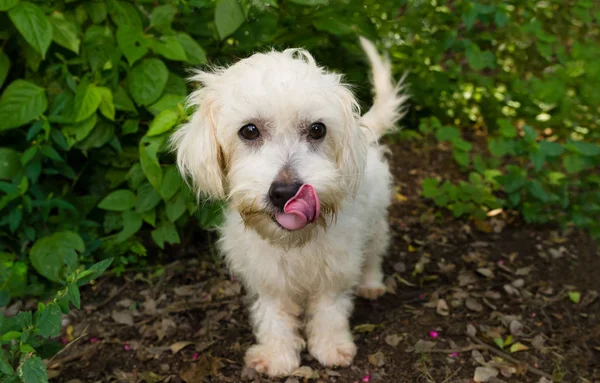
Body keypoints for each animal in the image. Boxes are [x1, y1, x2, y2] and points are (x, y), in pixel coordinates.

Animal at [173, 37, 408, 380]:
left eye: (317, 129)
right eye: (249, 130)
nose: (285, 192)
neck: (294, 242)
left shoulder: (335, 269)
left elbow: (329, 311)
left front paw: (330, 347)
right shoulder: (268, 275)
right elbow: (274, 317)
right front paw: (278, 356)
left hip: (375, 225)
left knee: (375, 254)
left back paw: (371, 284)